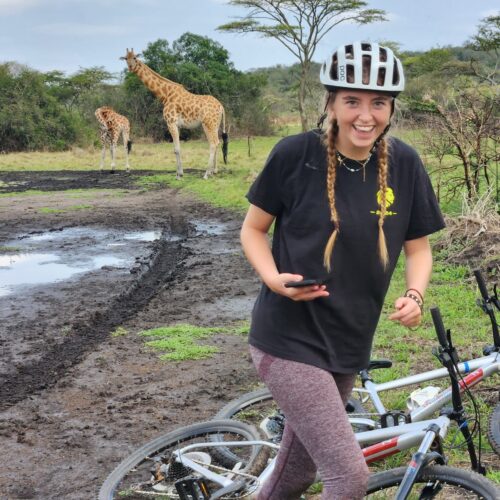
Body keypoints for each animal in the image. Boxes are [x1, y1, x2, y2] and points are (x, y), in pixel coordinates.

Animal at [122, 48, 228, 180]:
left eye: (135, 58)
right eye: (126, 58)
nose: (130, 67)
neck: (165, 95)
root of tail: (221, 106)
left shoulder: (171, 122)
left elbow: (176, 149)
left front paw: (179, 175)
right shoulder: (177, 125)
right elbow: (176, 148)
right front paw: (179, 173)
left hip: (208, 124)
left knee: (214, 143)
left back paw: (206, 174)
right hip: (215, 124)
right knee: (217, 143)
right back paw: (214, 171)